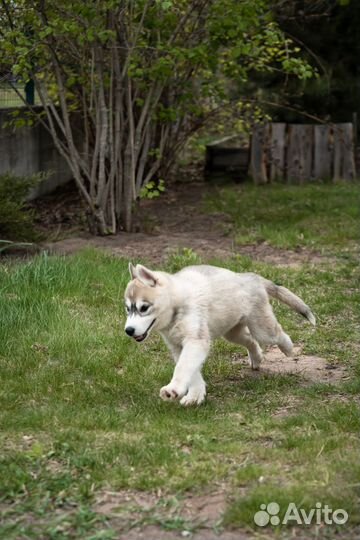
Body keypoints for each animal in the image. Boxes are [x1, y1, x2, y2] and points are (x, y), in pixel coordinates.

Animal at [124, 264, 316, 408]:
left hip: (262, 330)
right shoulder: (178, 346)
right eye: (127, 309)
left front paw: (174, 389)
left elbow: (183, 368)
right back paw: (256, 358)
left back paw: (288, 348)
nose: (128, 330)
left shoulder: (196, 342)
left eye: (143, 308)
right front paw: (195, 395)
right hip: (232, 333)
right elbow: (191, 371)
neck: (177, 307)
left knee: (277, 333)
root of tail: (249, 277)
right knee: (250, 341)